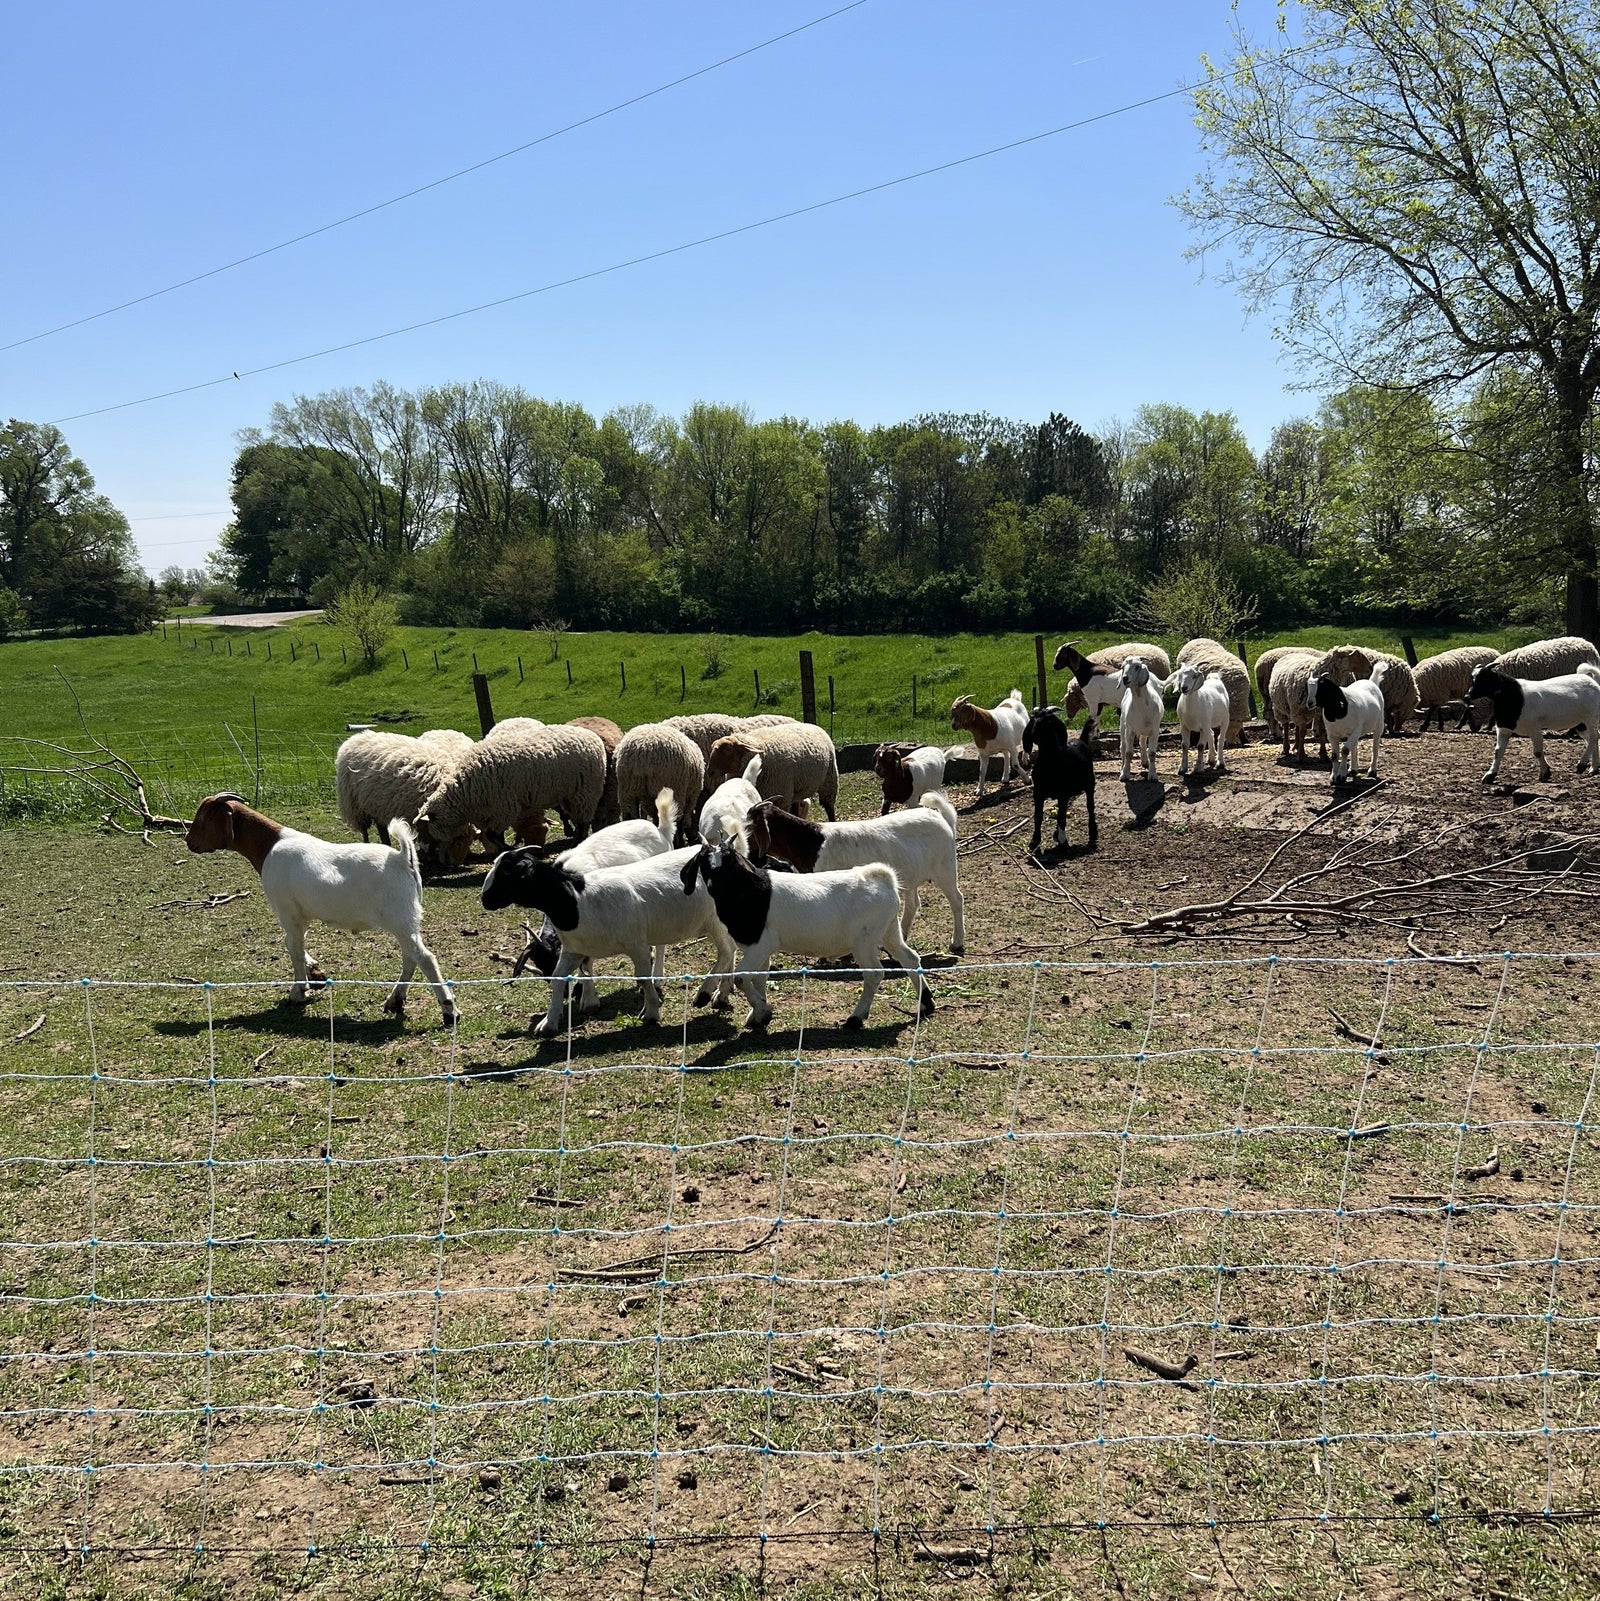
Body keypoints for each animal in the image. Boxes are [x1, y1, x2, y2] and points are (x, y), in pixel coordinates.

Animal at [192, 790, 464, 1024]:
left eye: (204, 817)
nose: (189, 841)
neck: (269, 846)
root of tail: (400, 858)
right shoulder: (301, 915)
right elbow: (296, 944)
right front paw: (315, 973)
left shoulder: (287, 910)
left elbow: (292, 946)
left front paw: (298, 992)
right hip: (406, 921)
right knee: (410, 958)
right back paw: (395, 1001)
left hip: (399, 918)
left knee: (425, 958)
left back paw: (449, 1010)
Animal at [416, 723, 608, 864]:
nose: (444, 861)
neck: (464, 794)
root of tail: (592, 736)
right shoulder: (489, 814)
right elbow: (493, 835)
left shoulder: (503, 809)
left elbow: (494, 835)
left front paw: (509, 849)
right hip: (569, 795)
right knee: (577, 818)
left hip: (585, 792)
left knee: (583, 821)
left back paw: (578, 840)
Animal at [746, 787, 967, 947]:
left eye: (749, 826)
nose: (747, 854)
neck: (813, 843)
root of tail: (941, 817)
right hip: (911, 875)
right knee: (913, 904)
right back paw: (902, 935)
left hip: (945, 867)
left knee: (957, 899)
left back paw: (956, 941)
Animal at [1018, 701, 1095, 851]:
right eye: (1032, 719)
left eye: (1046, 721)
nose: (1032, 733)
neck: (1050, 762)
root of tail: (1081, 741)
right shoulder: (1038, 793)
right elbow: (1038, 816)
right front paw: (1034, 841)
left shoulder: (1062, 794)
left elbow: (1061, 817)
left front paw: (1063, 841)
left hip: (1090, 784)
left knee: (1090, 807)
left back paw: (1092, 832)